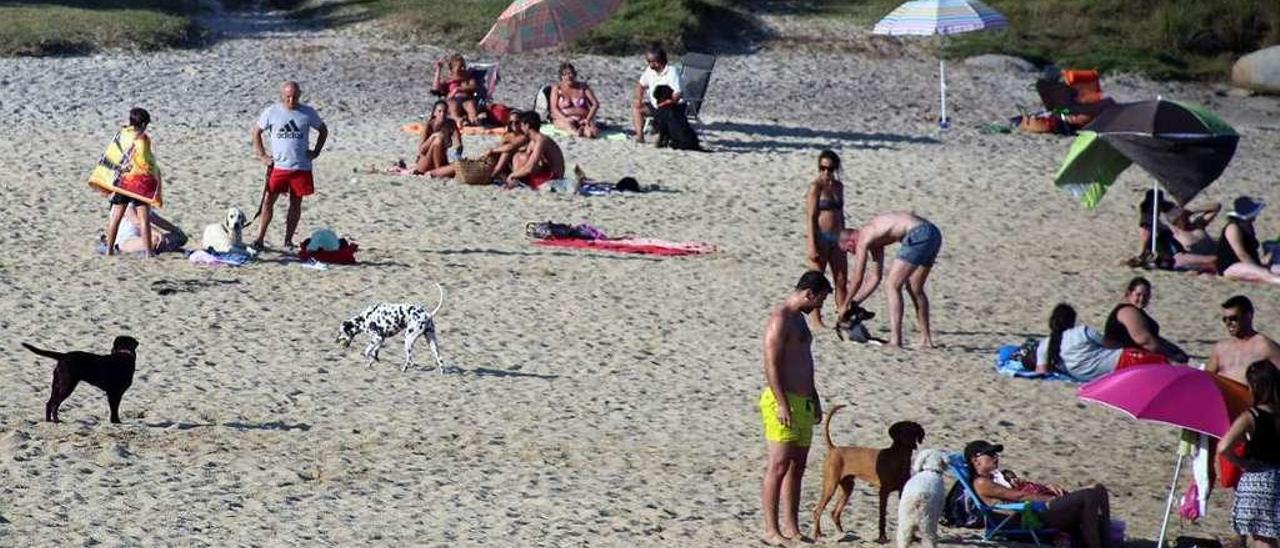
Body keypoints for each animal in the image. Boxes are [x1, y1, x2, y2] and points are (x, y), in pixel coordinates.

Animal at [814, 404, 926, 540]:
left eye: (914, 432)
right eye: (904, 432)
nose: (914, 445)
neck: (899, 457)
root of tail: (834, 448)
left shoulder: (902, 491)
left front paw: (912, 536)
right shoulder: (883, 493)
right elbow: (882, 518)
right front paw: (882, 537)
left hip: (847, 488)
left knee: (834, 513)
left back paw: (842, 534)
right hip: (831, 486)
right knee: (817, 510)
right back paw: (818, 533)